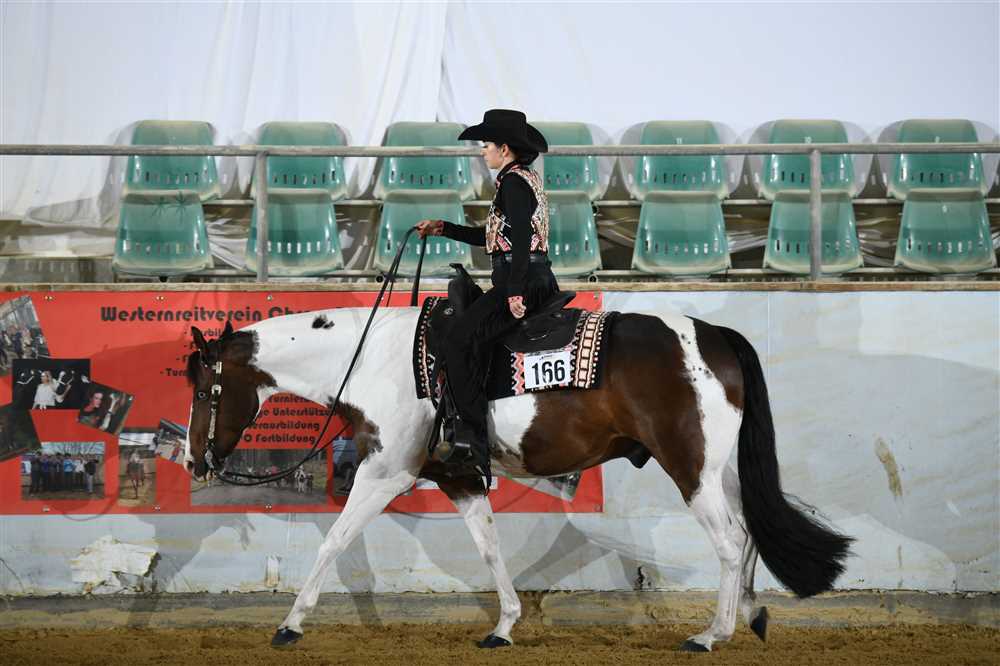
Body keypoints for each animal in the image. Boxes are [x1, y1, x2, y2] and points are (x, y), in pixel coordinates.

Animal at [183, 307, 851, 652]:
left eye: (205, 389)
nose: (194, 463)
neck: (375, 359)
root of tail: (714, 336)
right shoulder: (458, 477)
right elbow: (489, 548)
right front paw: (503, 626)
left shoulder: (384, 472)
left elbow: (333, 542)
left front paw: (290, 624)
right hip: (716, 470)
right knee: (750, 530)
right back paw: (753, 615)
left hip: (689, 467)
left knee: (730, 541)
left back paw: (713, 633)